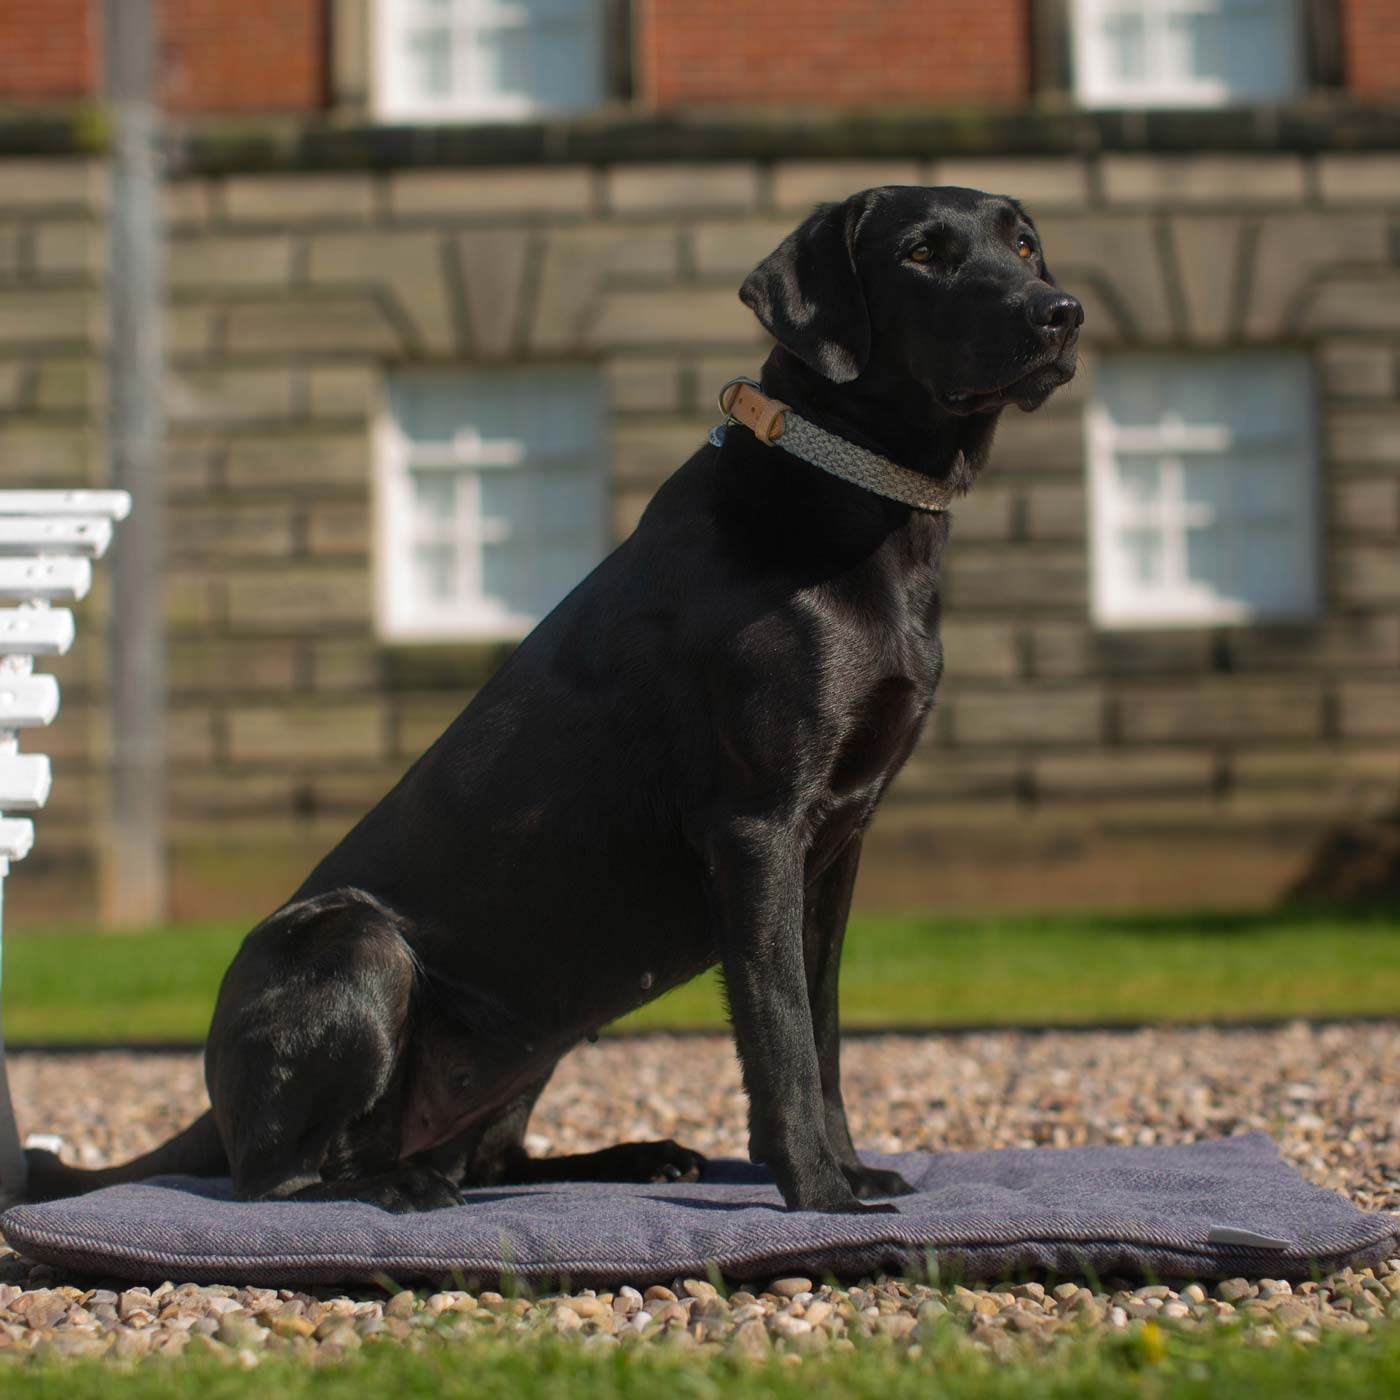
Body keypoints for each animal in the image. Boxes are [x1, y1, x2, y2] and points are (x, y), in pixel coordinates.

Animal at [30, 186, 1080, 1215]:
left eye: (1024, 244)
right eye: (922, 253)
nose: (1061, 313)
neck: (857, 503)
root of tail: (214, 1099)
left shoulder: (841, 840)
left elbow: (822, 1031)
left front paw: (854, 1170)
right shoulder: (757, 826)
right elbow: (780, 1028)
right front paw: (821, 1193)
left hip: (536, 1032)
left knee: (491, 1160)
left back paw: (636, 1156)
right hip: (359, 948)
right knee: (276, 1179)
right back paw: (399, 1183)